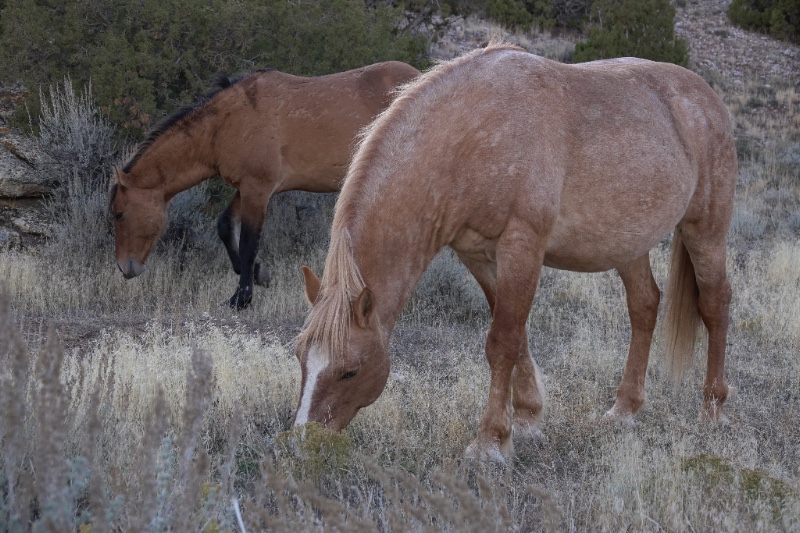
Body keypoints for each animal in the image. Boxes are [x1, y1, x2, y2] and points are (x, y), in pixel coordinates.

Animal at [110, 59, 422, 308]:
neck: (225, 124)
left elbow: (249, 242)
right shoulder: (245, 187)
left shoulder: (257, 188)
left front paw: (241, 298)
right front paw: (259, 274)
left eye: (119, 214)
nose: (125, 268)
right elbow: (225, 226)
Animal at [294, 44, 736, 462]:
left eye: (350, 371)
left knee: (715, 303)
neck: (473, 135)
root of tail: (707, 99)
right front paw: (526, 419)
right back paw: (624, 409)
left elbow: (502, 341)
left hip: (704, 230)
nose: (303, 440)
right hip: (629, 243)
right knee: (644, 305)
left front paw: (490, 442)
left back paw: (712, 409)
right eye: (300, 357)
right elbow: (515, 335)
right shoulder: (478, 255)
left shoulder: (522, 246)